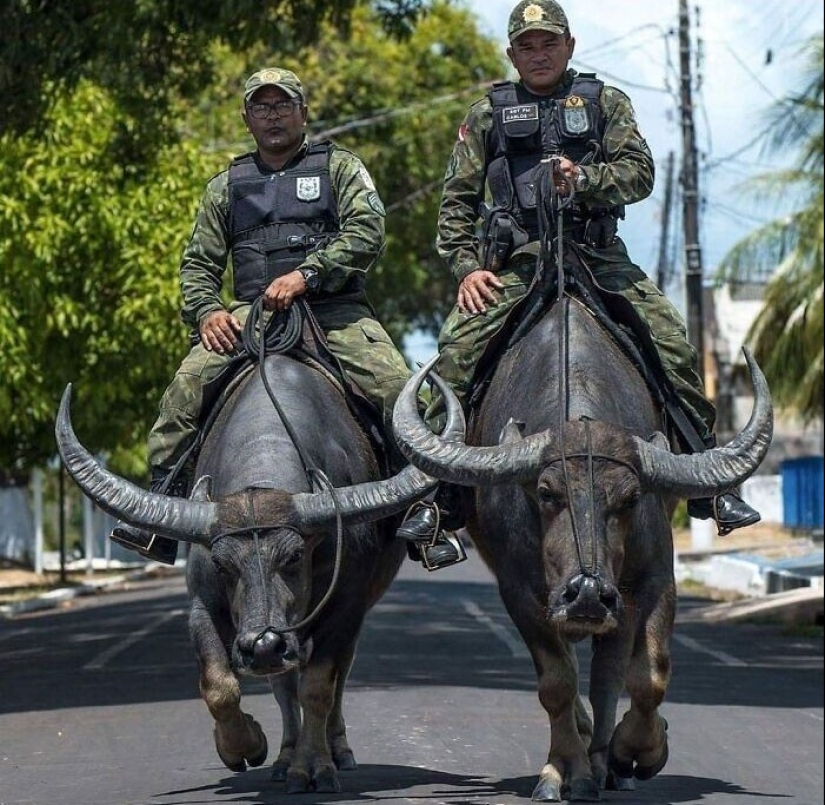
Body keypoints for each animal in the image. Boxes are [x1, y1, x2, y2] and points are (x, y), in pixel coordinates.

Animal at [54, 356, 460, 792]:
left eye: (295, 556)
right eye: (221, 564)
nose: (263, 645)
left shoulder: (346, 607)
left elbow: (318, 688)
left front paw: (315, 768)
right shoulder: (203, 606)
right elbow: (219, 686)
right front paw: (245, 747)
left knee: (336, 678)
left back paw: (335, 750)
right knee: (283, 685)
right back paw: (284, 757)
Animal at [392, 298, 772, 800]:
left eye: (631, 498)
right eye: (546, 492)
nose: (588, 594)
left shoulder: (650, 580)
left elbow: (646, 676)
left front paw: (636, 752)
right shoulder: (522, 591)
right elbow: (556, 682)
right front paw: (564, 771)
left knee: (608, 674)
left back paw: (608, 760)